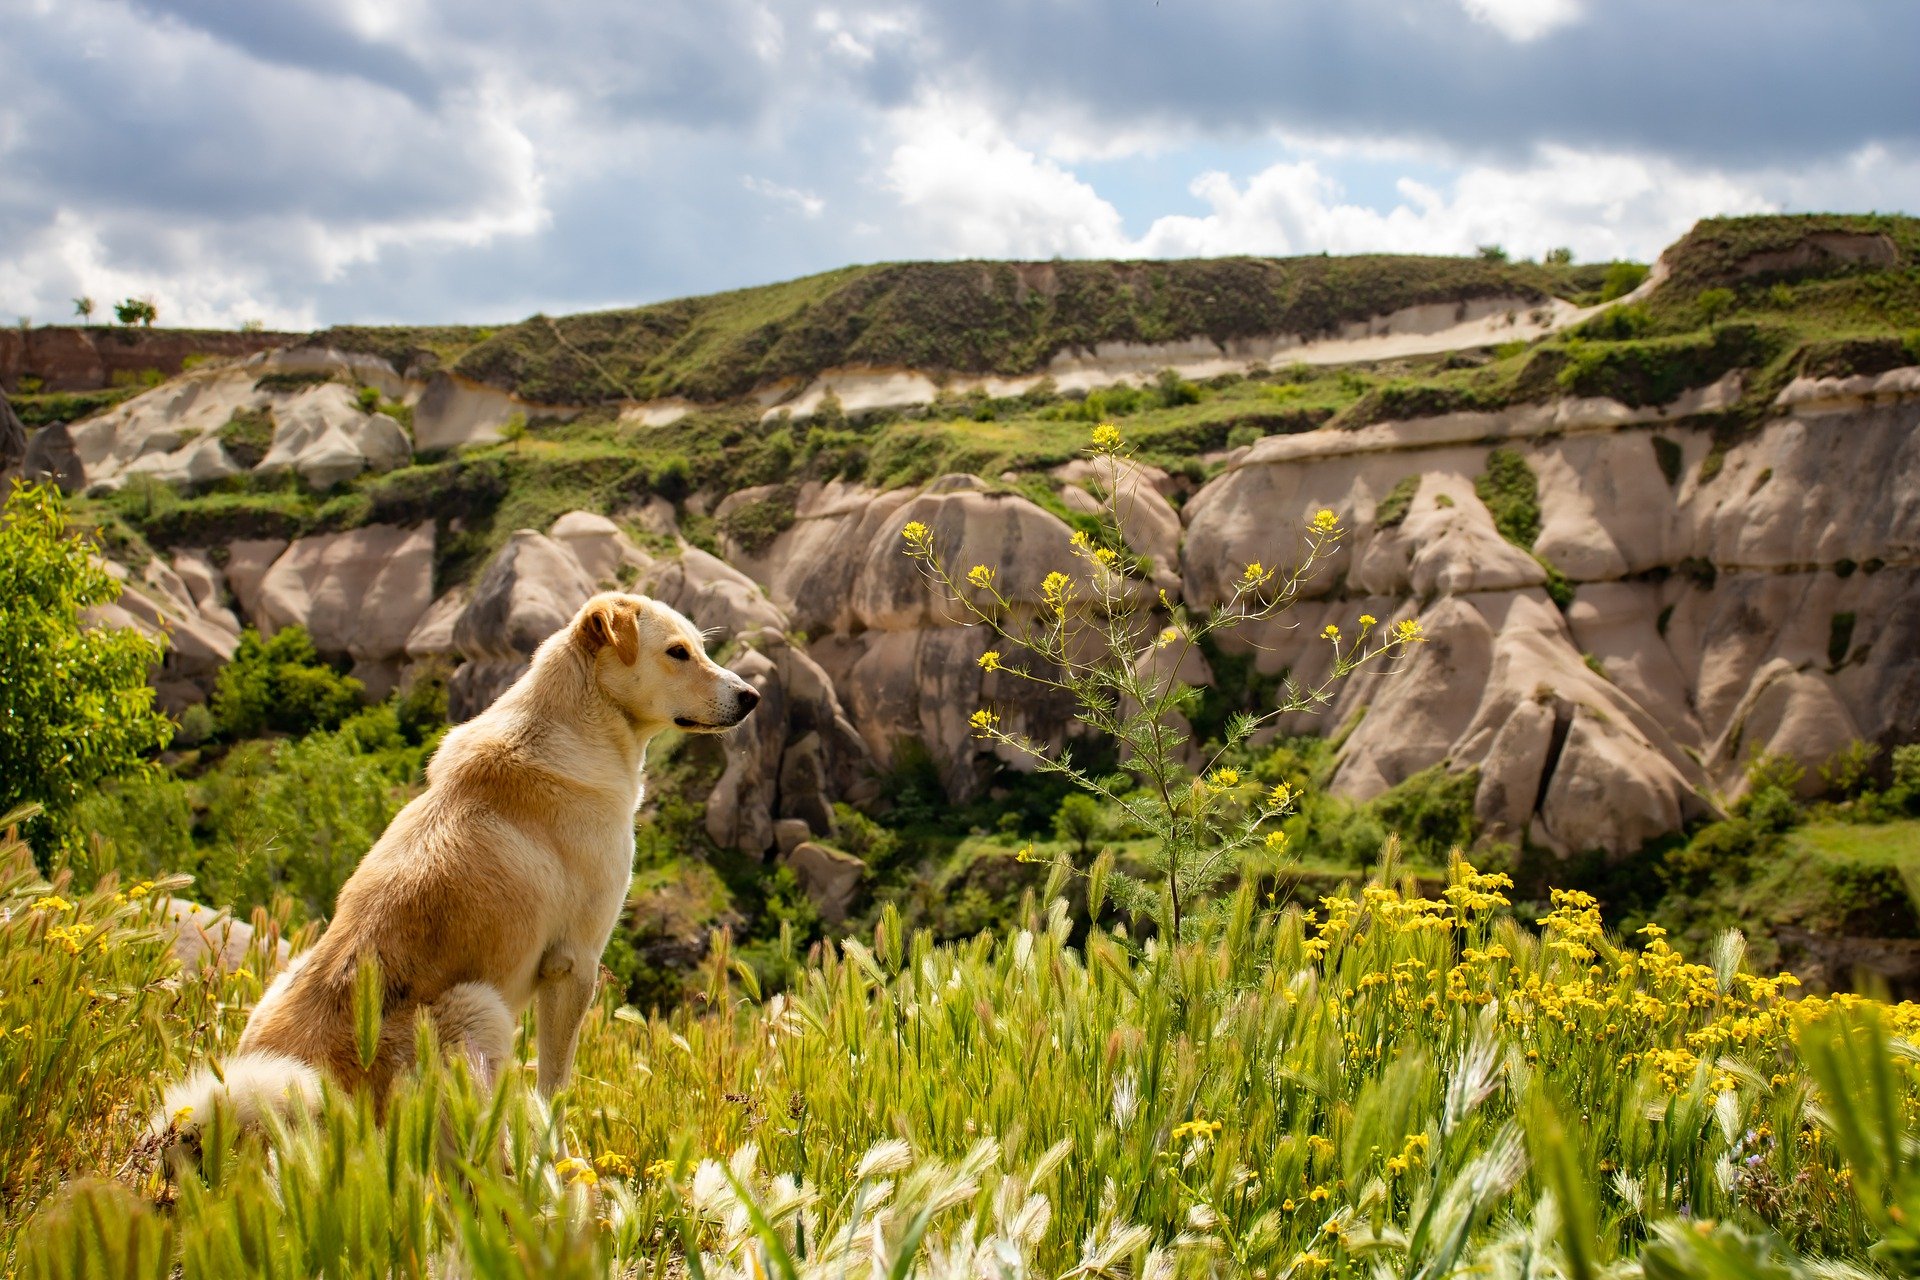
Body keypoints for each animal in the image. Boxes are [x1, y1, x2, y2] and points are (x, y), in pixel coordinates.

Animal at [155, 594, 756, 1159]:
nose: (751, 696)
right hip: (477, 1009)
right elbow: (555, 1087)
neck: (579, 719)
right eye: (677, 653)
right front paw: (561, 1159)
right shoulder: (574, 963)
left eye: (700, 648)